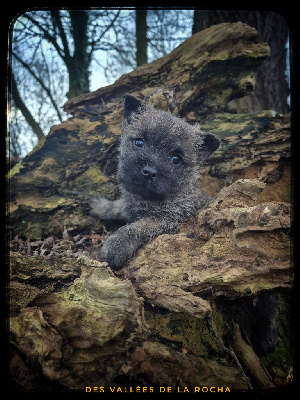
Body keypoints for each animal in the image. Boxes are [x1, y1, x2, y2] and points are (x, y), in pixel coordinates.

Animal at [89, 94, 220, 268]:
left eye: (176, 159)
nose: (149, 172)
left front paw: (114, 247)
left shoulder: (169, 219)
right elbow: (118, 206)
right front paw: (101, 206)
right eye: (139, 142)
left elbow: (136, 228)